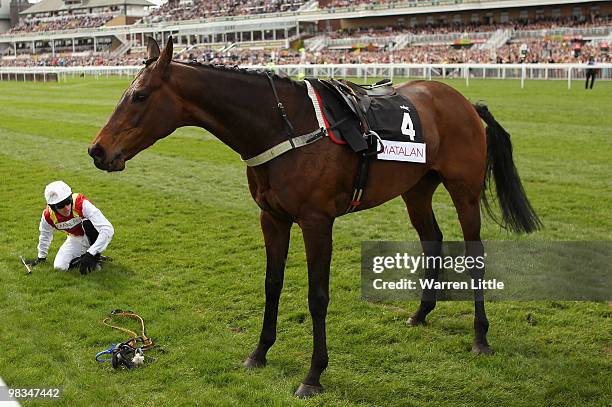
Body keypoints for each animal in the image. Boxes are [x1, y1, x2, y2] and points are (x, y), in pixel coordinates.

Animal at [87, 38, 540, 398]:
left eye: (140, 95)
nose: (97, 150)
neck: (284, 128)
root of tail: (464, 102)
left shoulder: (317, 221)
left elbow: (317, 296)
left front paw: (314, 374)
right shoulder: (272, 218)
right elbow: (271, 284)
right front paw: (259, 352)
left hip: (464, 191)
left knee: (474, 254)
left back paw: (480, 336)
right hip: (416, 188)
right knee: (432, 238)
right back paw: (421, 312)